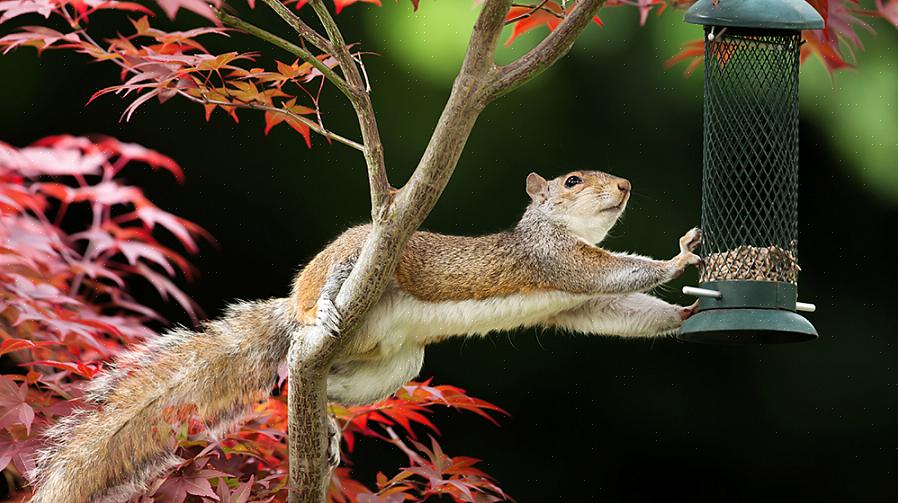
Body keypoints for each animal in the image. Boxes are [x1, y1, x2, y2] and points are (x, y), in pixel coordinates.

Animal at [28, 170, 700, 503]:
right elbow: (614, 271)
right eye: (572, 180)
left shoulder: (580, 300)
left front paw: (686, 314)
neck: (558, 229)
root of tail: (292, 312)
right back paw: (323, 314)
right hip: (353, 259)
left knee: (318, 386)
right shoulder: (556, 261)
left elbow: (620, 309)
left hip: (395, 366)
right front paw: (679, 260)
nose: (625, 188)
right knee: (319, 311)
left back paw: (326, 423)